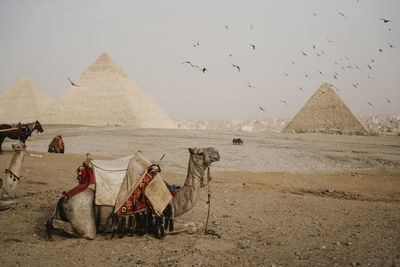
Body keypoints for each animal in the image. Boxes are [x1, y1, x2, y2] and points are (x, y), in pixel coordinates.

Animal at [47, 147, 222, 241]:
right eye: (199, 151)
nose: (216, 152)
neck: (171, 198)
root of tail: (64, 196)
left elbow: (197, 224)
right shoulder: (159, 223)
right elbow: (192, 227)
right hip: (81, 209)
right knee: (86, 231)